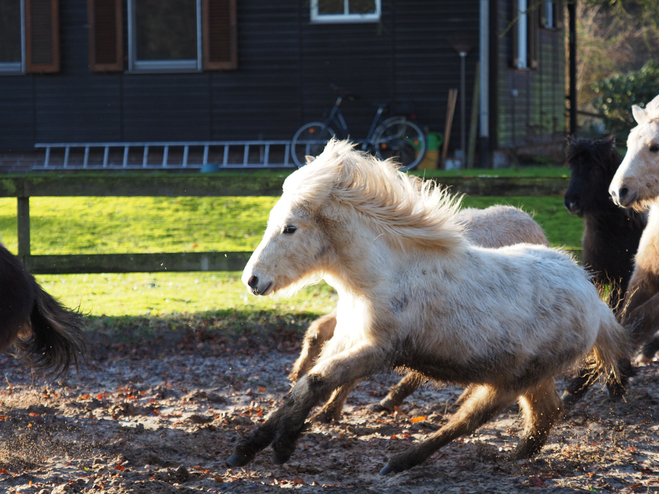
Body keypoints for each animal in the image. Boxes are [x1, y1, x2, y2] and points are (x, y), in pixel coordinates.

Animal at [231, 139, 628, 474]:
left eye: (290, 228)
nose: (252, 280)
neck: (383, 276)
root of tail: (594, 300)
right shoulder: (345, 339)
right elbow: (301, 387)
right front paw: (248, 448)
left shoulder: (379, 350)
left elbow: (316, 382)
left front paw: (282, 445)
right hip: (525, 377)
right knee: (545, 414)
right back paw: (516, 456)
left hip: (514, 380)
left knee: (471, 419)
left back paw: (400, 461)